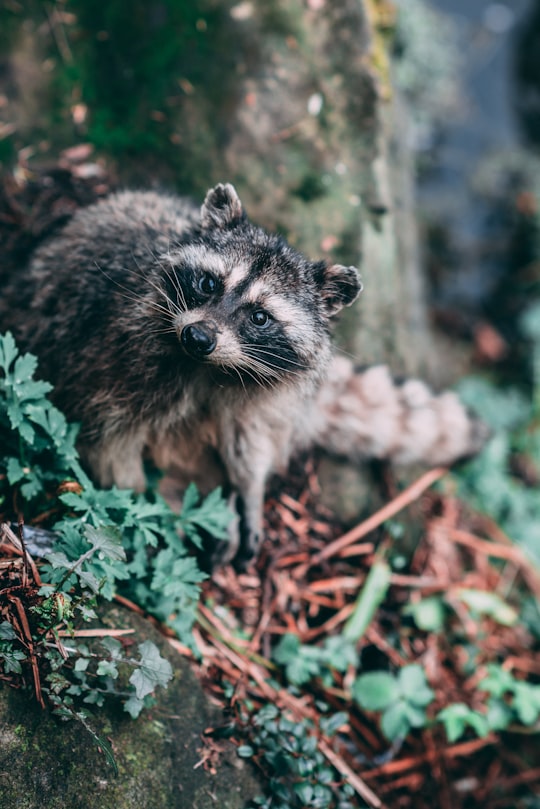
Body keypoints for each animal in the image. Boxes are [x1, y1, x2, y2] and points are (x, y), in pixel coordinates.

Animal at [1, 183, 486, 560]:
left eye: (259, 317)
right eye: (208, 283)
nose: (198, 336)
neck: (211, 367)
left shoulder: (266, 393)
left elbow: (250, 443)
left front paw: (249, 490)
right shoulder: (116, 357)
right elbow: (108, 444)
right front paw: (152, 501)